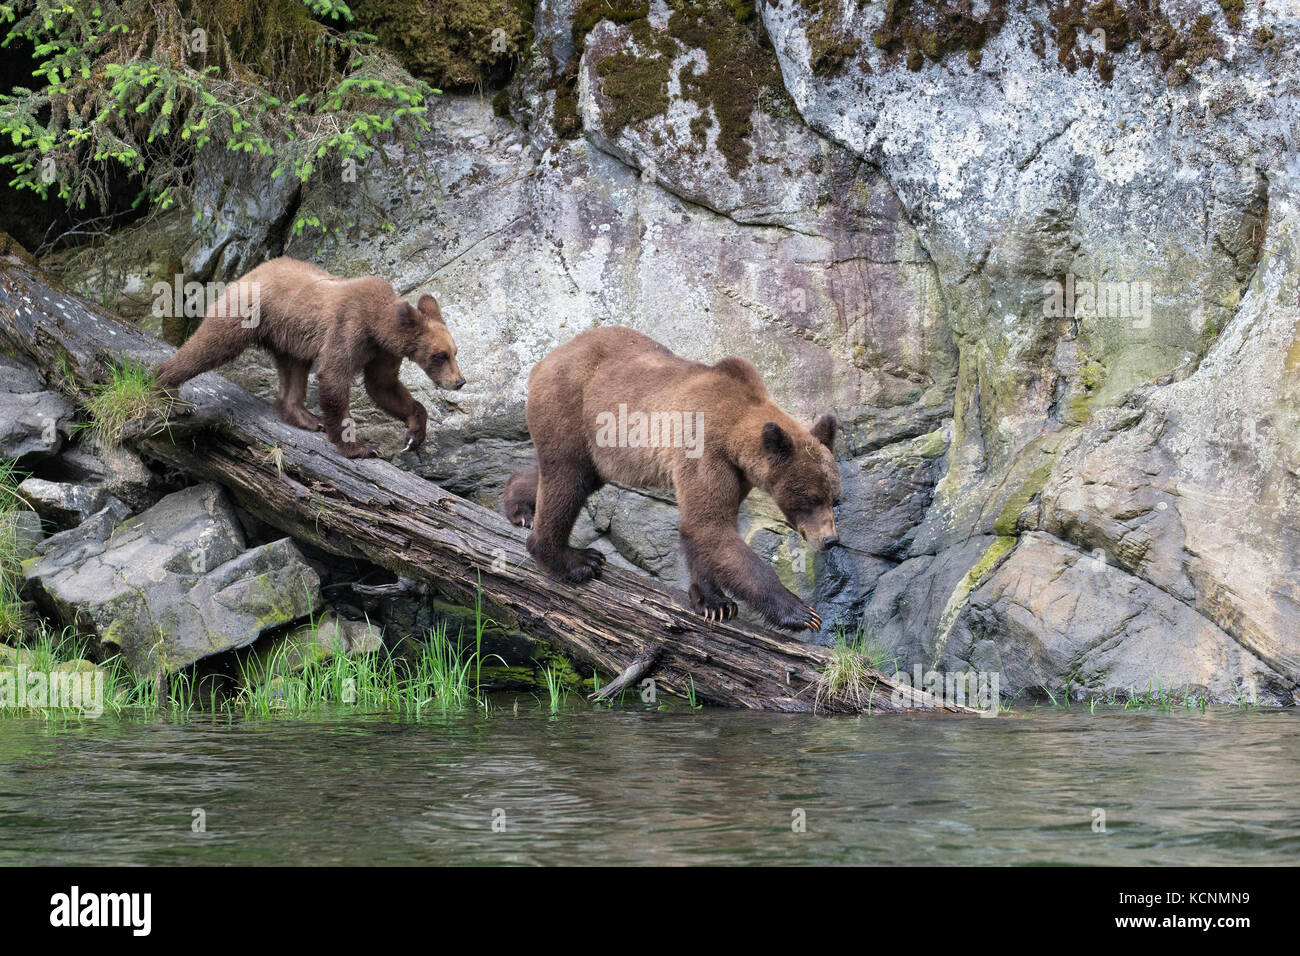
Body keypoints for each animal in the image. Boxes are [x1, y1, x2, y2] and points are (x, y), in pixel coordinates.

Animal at [156, 257, 467, 460]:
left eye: (455, 352)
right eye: (439, 355)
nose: (459, 381)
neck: (377, 326)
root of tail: (251, 271)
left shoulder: (382, 352)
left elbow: (383, 386)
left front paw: (414, 434)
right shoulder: (349, 328)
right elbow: (334, 377)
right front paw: (361, 447)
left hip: (290, 335)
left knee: (294, 370)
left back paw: (305, 417)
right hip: (249, 312)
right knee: (211, 345)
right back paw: (168, 390)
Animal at [501, 325, 837, 632]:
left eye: (835, 498)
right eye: (812, 499)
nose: (831, 540)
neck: (733, 430)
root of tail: (542, 361)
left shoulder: (735, 473)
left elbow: (705, 530)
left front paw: (714, 602)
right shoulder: (703, 450)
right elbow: (709, 526)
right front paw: (801, 612)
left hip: (597, 445)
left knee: (569, 475)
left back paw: (520, 508)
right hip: (572, 405)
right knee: (567, 479)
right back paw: (576, 560)